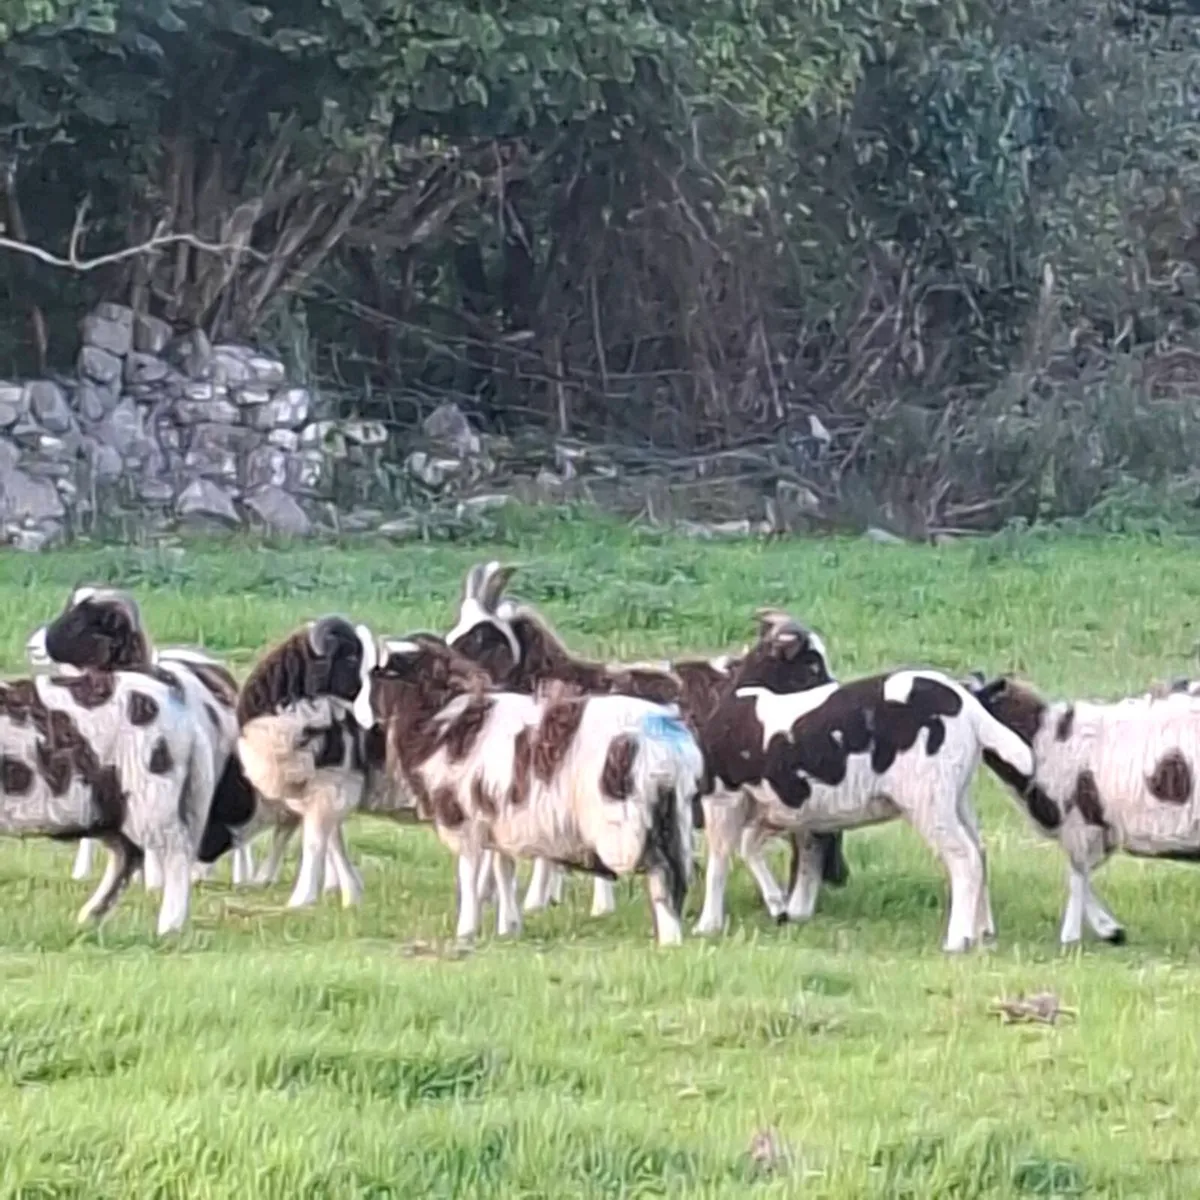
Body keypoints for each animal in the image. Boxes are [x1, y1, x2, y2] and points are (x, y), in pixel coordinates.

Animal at [0, 661, 216, 934]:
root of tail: (184, 714)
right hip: (111, 809)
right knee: (127, 855)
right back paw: (87, 919)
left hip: (152, 795)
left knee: (176, 851)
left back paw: (167, 930)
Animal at [364, 632, 704, 944]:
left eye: (381, 671)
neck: (443, 717)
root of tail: (669, 742)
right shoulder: (498, 821)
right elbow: (504, 872)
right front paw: (509, 927)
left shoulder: (464, 819)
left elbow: (469, 874)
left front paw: (466, 931)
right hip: (673, 815)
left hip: (628, 822)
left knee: (660, 871)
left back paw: (669, 940)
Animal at [694, 612, 1035, 951]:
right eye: (812, 664)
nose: (832, 683)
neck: (747, 696)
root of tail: (969, 708)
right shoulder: (777, 808)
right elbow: (749, 847)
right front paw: (778, 905)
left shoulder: (724, 796)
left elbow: (720, 860)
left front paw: (708, 925)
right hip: (957, 795)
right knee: (980, 852)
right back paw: (983, 932)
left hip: (928, 796)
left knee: (965, 858)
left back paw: (958, 940)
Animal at [965, 673, 1200, 945]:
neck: (1043, 742)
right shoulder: (1100, 827)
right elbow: (1084, 875)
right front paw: (1111, 930)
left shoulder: (1081, 822)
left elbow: (1077, 876)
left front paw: (1070, 937)